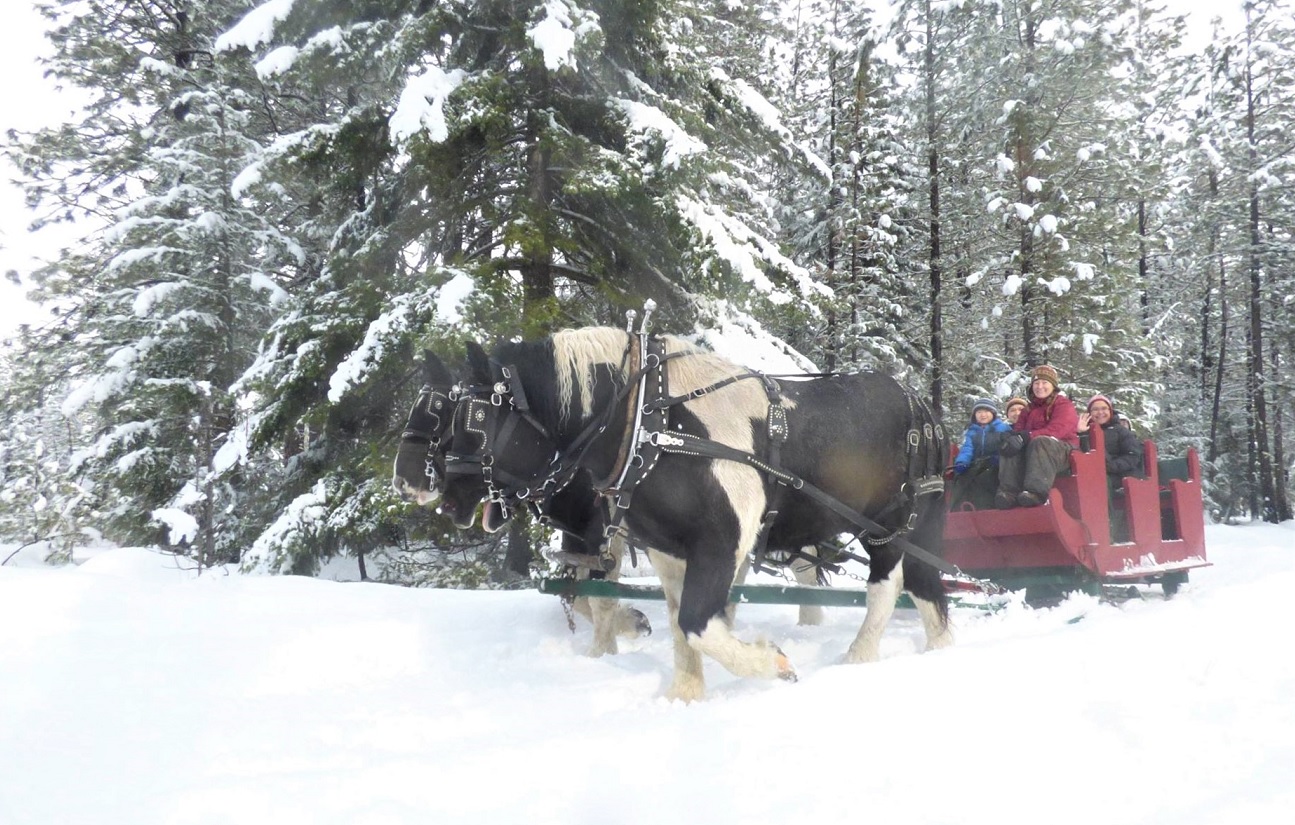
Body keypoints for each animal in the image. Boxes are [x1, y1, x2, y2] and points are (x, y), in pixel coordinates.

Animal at [393, 326, 953, 701]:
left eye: (467, 418)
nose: (423, 487)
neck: (650, 424)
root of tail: (919, 402)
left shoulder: (721, 543)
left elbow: (698, 622)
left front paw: (773, 664)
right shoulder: (663, 551)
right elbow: (676, 624)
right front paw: (684, 695)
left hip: (892, 526)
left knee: (888, 588)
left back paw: (859, 658)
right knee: (922, 591)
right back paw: (936, 648)